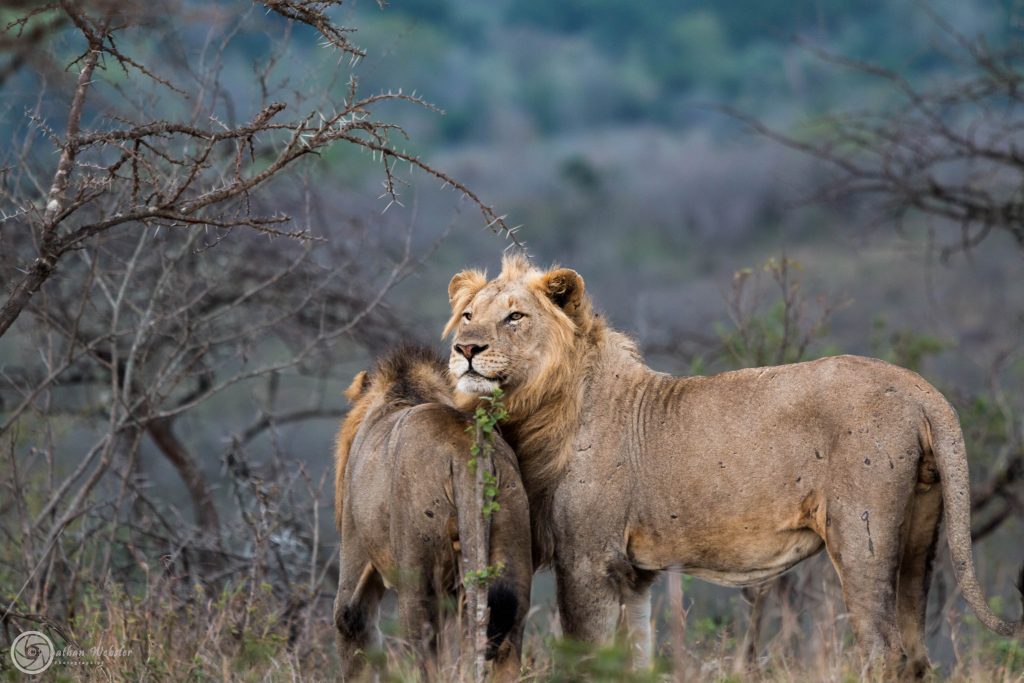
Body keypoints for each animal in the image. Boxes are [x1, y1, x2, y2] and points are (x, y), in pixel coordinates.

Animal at [332, 344, 532, 680]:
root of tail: (465, 448)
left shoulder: (355, 544)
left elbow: (351, 621)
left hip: (416, 573)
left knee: (425, 654)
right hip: (511, 543)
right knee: (502, 642)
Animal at [443, 253, 1023, 678]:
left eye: (515, 317)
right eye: (469, 315)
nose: (466, 348)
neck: (543, 408)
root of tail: (919, 386)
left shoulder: (588, 559)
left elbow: (586, 660)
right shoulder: (635, 574)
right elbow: (634, 659)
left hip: (863, 536)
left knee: (886, 653)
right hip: (920, 536)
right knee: (917, 655)